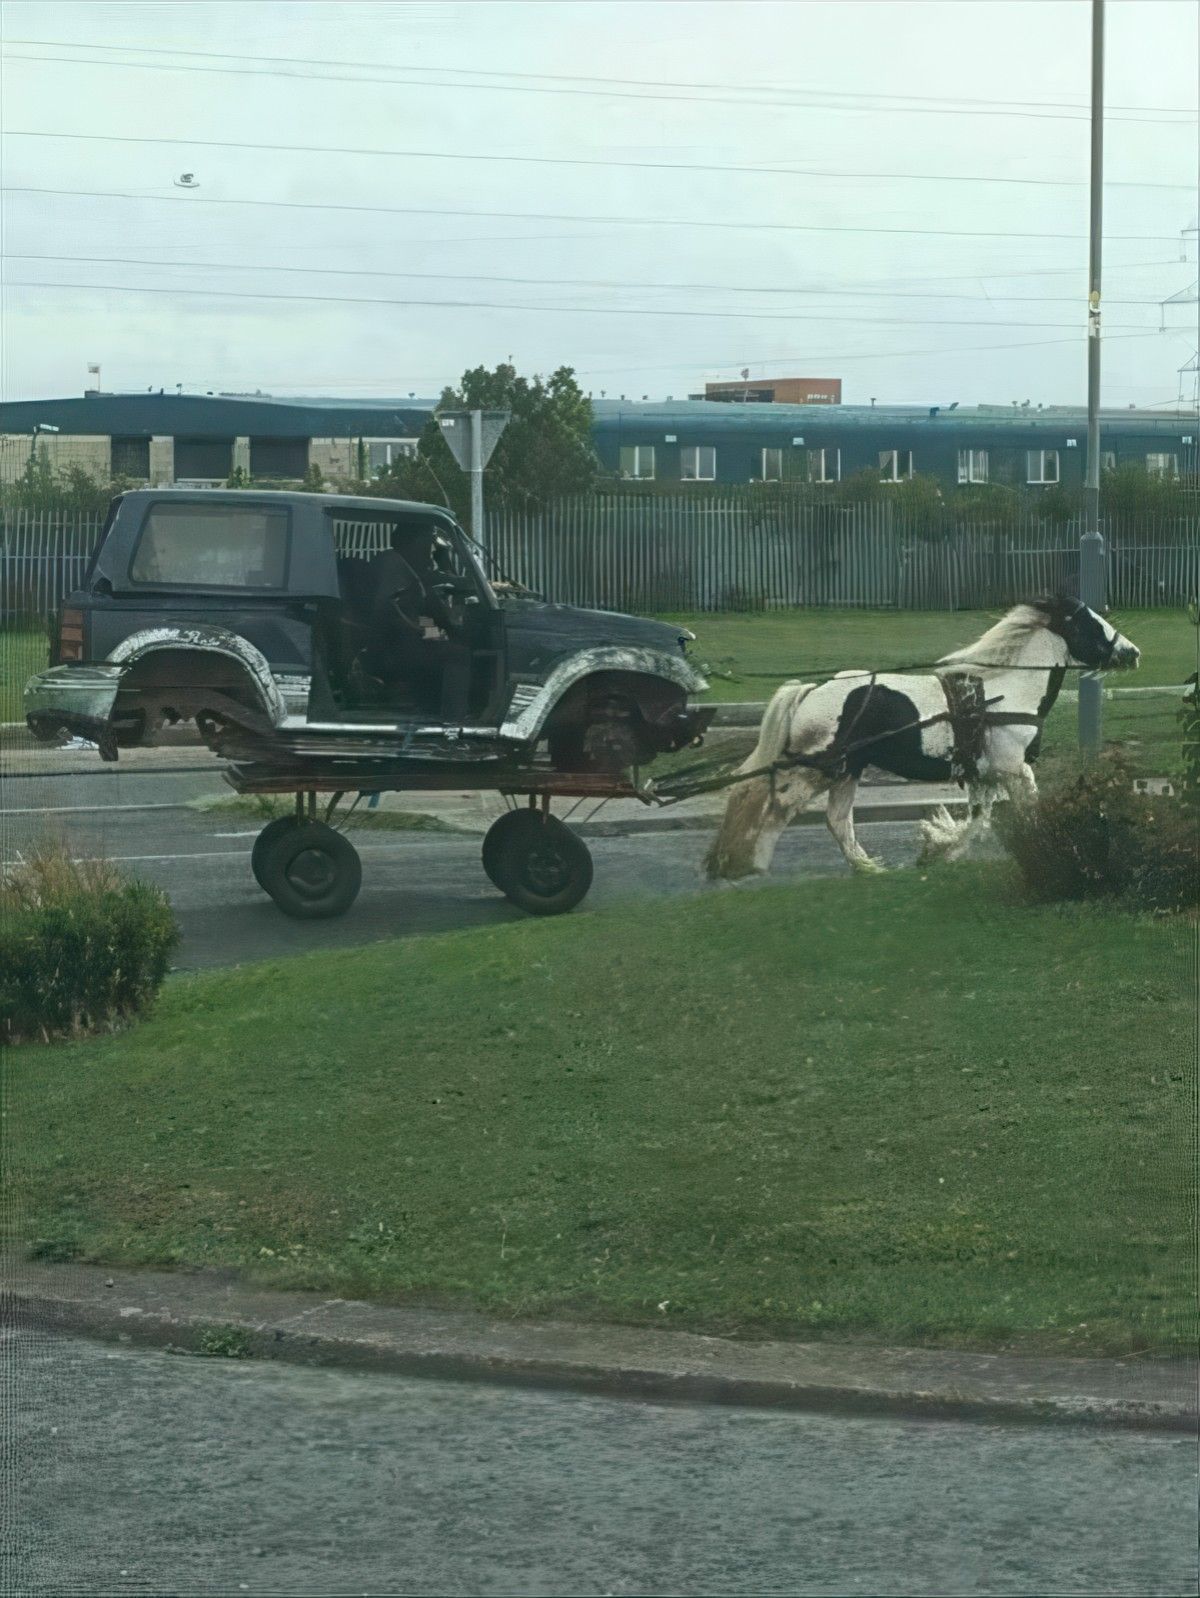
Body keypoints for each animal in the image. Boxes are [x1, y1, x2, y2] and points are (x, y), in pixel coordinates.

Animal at [703, 600, 1144, 882]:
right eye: (1092, 623)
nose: (1133, 652)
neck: (1005, 692)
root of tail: (811, 691)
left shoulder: (984, 773)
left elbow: (980, 819)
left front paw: (939, 850)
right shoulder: (1012, 768)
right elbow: (1026, 806)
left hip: (847, 770)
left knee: (836, 820)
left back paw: (867, 868)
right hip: (820, 769)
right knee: (773, 803)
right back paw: (749, 860)